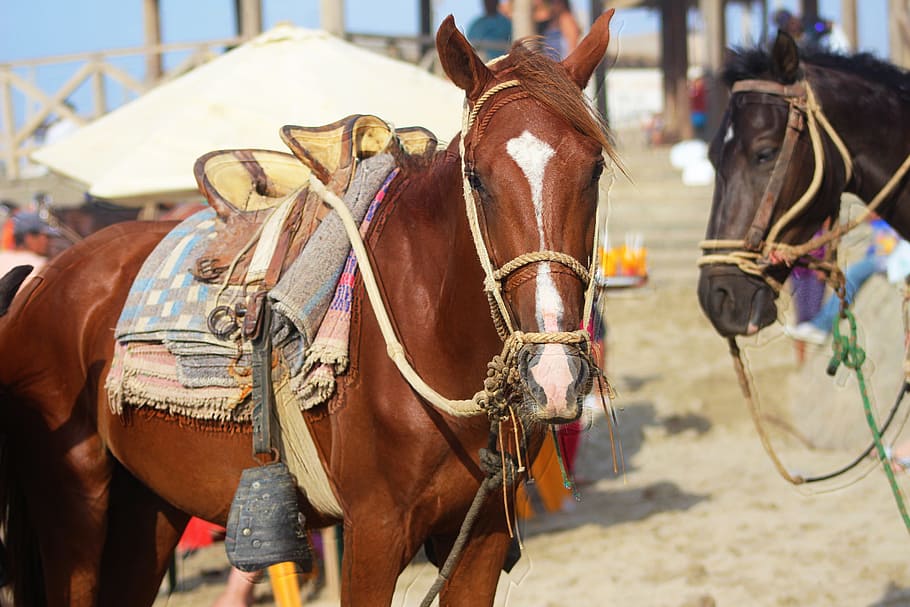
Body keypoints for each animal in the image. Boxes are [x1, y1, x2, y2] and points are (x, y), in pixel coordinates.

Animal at [0, 11, 617, 606]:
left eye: (594, 170)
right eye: (477, 176)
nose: (555, 376)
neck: (433, 334)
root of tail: (44, 279)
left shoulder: (481, 535)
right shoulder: (375, 531)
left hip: (146, 509)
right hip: (76, 513)